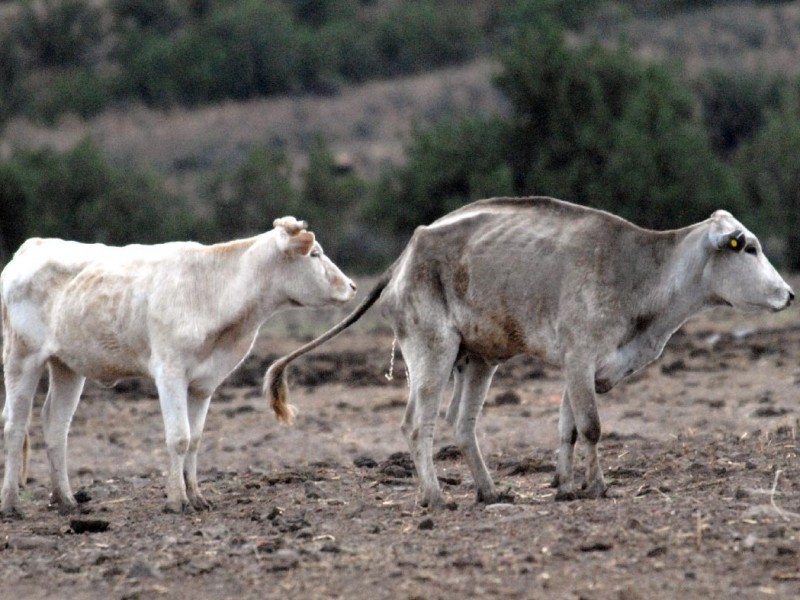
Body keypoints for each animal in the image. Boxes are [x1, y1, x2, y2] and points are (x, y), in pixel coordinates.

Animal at [0, 217, 356, 516]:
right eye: (315, 254)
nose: (352, 286)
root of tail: (32, 246)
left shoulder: (203, 384)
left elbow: (195, 439)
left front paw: (196, 496)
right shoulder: (169, 372)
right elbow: (179, 437)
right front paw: (176, 499)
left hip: (68, 365)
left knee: (56, 425)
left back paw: (66, 500)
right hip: (21, 357)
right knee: (15, 426)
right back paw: (11, 505)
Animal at [264, 197, 792, 506]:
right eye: (747, 248)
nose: (788, 294)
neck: (640, 273)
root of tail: (406, 254)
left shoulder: (579, 369)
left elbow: (568, 429)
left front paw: (565, 485)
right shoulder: (580, 357)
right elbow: (592, 427)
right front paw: (597, 487)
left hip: (478, 360)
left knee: (462, 423)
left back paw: (490, 492)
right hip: (431, 351)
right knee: (417, 424)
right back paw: (435, 498)